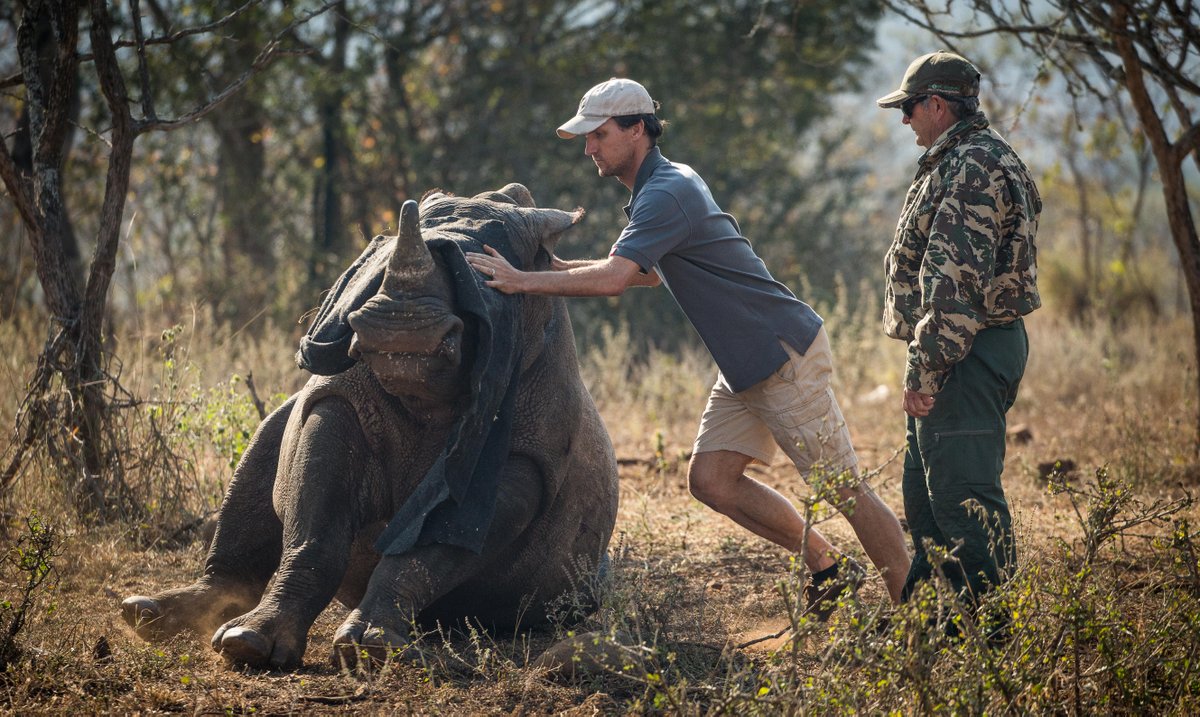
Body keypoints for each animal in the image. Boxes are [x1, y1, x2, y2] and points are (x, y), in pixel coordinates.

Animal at [121, 184, 619, 666]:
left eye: (486, 284)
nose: (401, 332)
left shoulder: (525, 454)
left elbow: (431, 549)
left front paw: (374, 649)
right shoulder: (339, 399)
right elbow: (315, 524)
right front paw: (248, 643)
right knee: (265, 440)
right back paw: (150, 615)